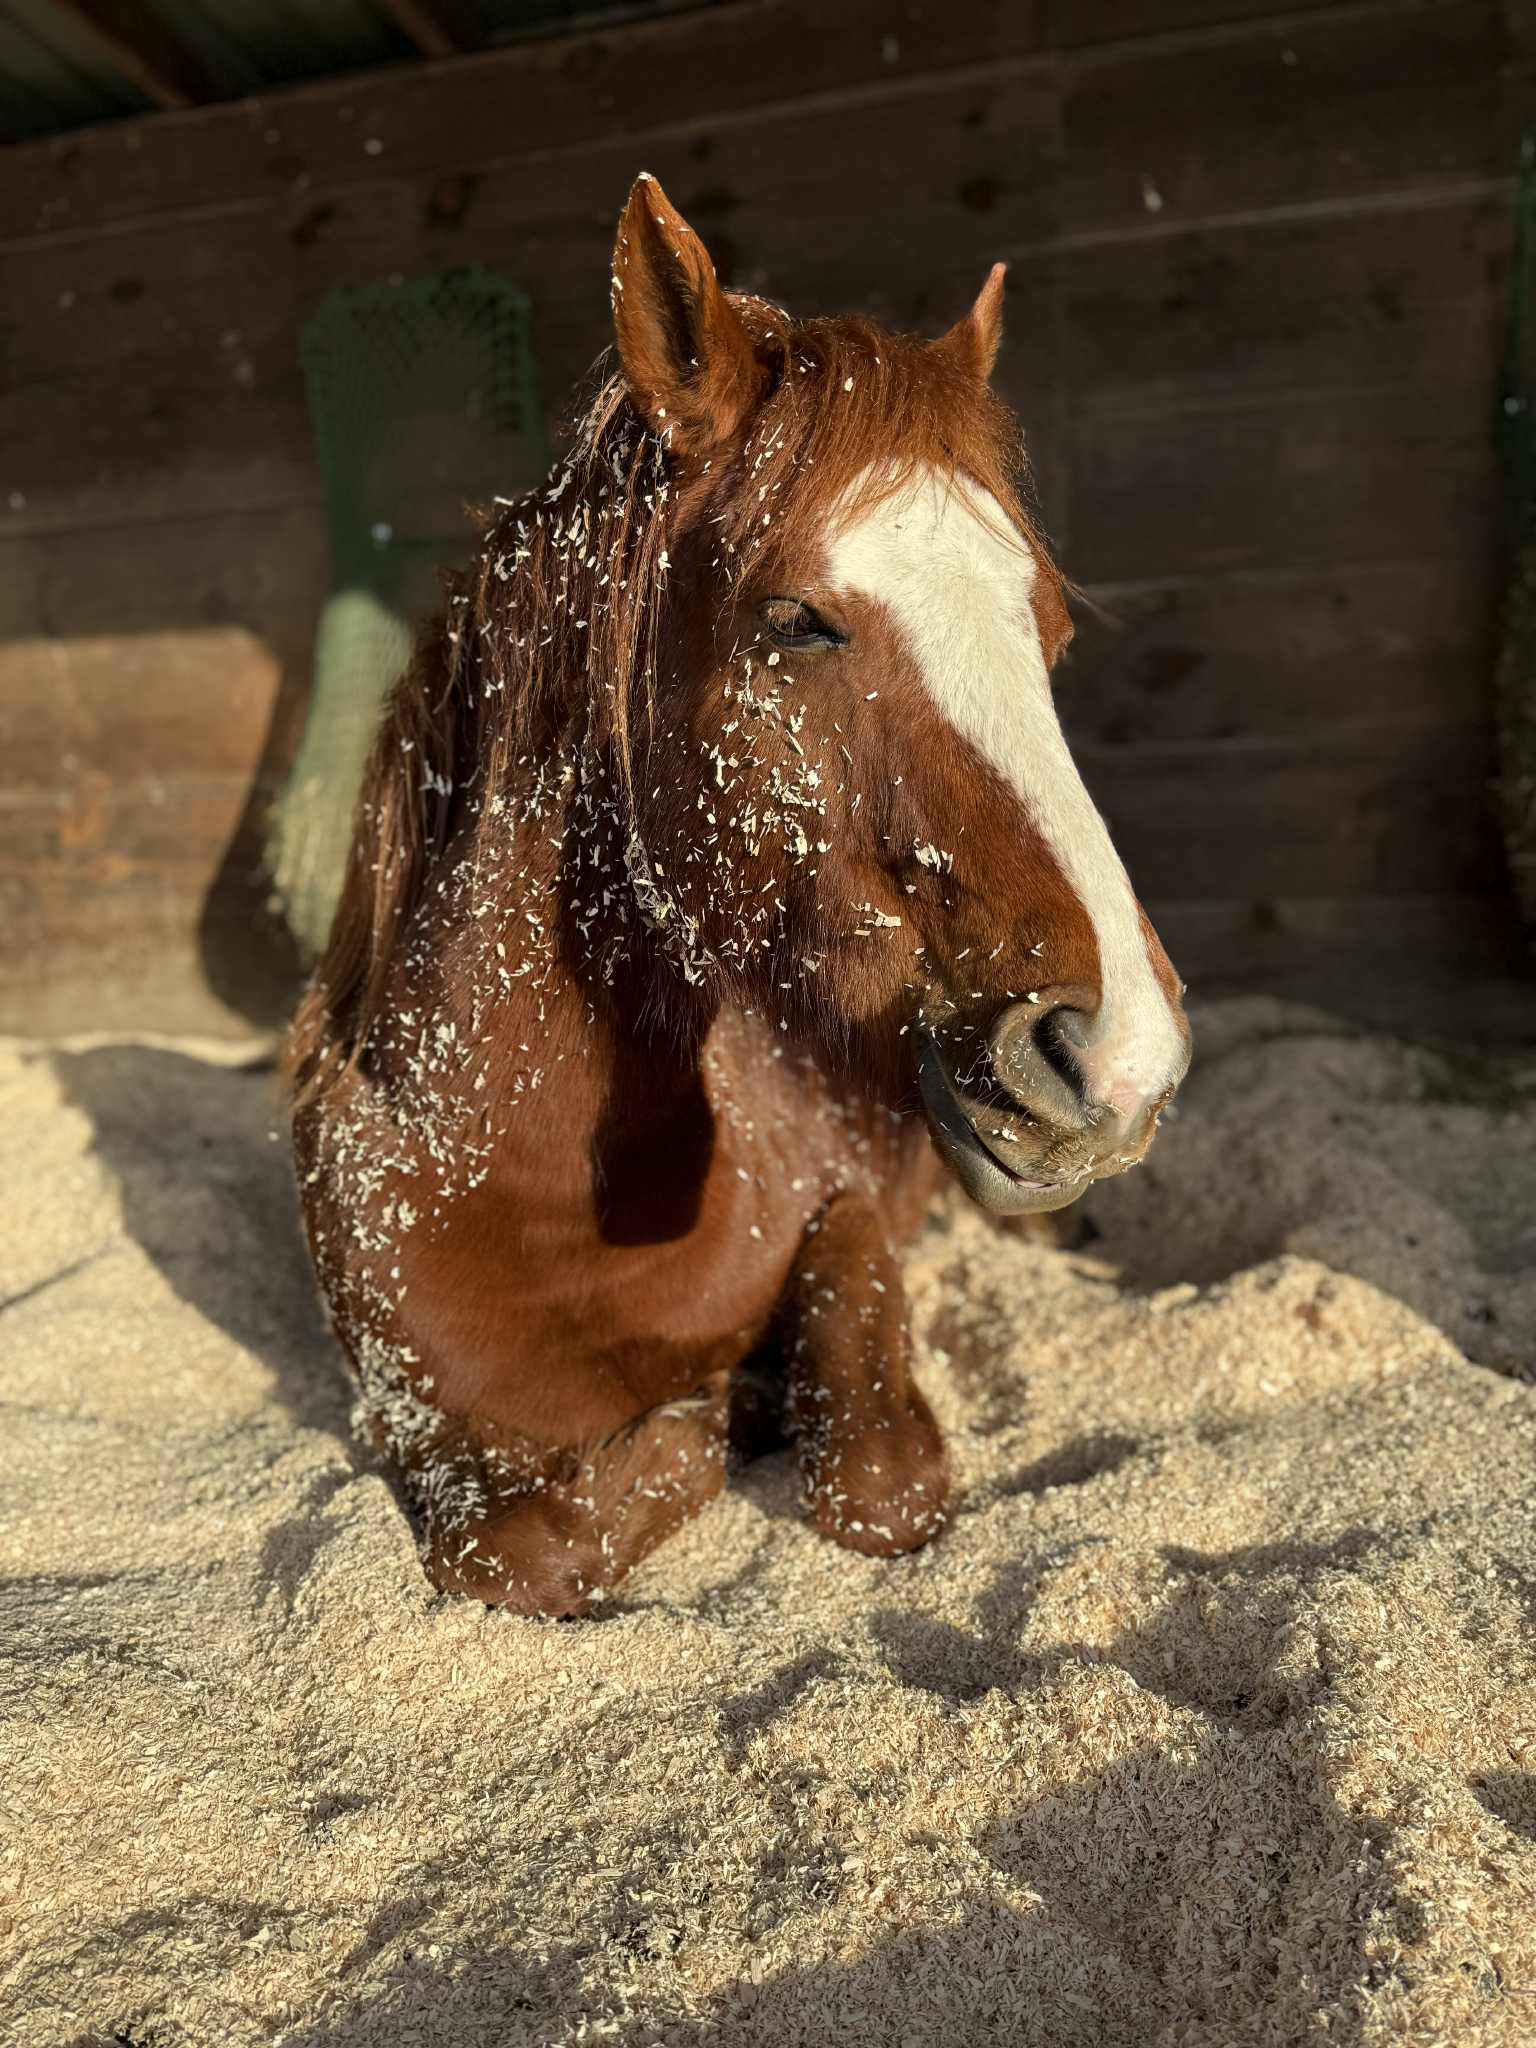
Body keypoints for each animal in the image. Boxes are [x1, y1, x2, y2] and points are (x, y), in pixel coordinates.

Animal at [287, 173, 1191, 1618]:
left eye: (1047, 628)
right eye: (795, 622)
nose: (1121, 1052)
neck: (546, 1205)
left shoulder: (851, 1220)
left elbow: (877, 1477)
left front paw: (756, 1404)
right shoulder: (414, 1433)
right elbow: (524, 1544)